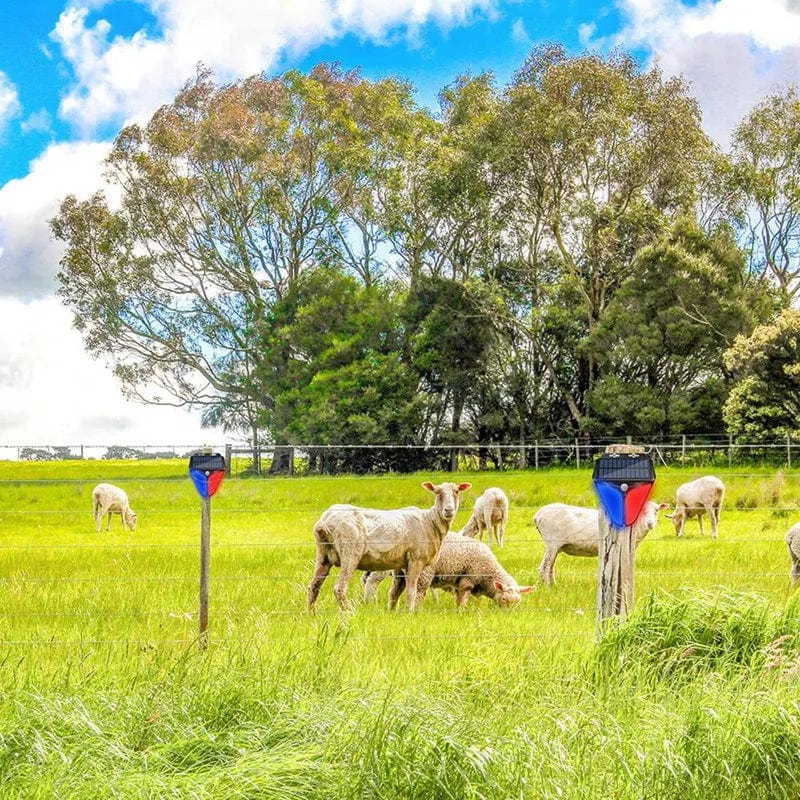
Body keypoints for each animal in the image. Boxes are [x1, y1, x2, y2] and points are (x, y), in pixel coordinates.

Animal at [304, 482, 468, 612]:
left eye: (456, 491)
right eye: (437, 492)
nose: (448, 510)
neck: (430, 521)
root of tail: (324, 522)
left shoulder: (401, 564)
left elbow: (396, 591)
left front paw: (394, 611)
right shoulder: (416, 559)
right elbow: (412, 591)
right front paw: (410, 613)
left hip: (323, 555)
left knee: (313, 586)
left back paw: (311, 613)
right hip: (350, 552)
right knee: (339, 588)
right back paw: (349, 612)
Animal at [536, 504, 672, 584]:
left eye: (656, 510)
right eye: (642, 511)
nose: (650, 523)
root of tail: (537, 516)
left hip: (553, 546)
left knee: (549, 567)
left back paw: (553, 586)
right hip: (552, 542)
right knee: (545, 567)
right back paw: (549, 588)